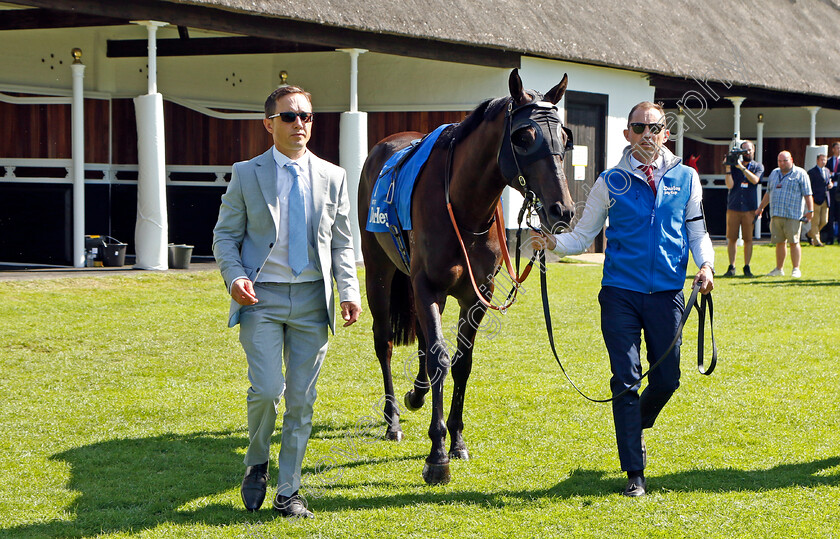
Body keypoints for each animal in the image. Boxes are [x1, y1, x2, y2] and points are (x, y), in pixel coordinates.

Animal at [358, 68, 576, 486]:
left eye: (565, 137)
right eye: (524, 137)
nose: (563, 209)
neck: (463, 205)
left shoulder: (476, 294)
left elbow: (460, 361)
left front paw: (456, 439)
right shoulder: (427, 285)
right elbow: (441, 358)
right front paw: (437, 454)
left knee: (424, 340)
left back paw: (417, 394)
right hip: (378, 270)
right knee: (385, 342)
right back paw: (393, 418)